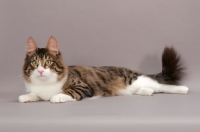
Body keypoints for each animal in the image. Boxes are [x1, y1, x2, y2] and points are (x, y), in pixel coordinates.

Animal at [18, 36, 189, 103]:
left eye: (47, 62)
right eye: (35, 63)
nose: (40, 71)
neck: (45, 84)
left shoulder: (82, 87)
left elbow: (66, 92)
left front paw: (57, 97)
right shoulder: (37, 90)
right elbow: (34, 95)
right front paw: (26, 97)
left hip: (135, 79)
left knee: (161, 85)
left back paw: (182, 89)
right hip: (132, 86)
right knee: (147, 88)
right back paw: (147, 92)